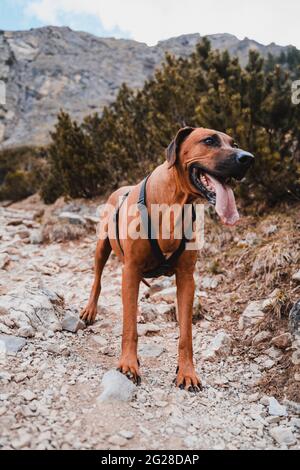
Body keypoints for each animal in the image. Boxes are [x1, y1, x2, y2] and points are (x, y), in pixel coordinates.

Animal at [81, 126, 254, 392]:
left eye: (233, 143)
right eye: (209, 140)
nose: (248, 158)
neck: (174, 203)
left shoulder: (186, 278)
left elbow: (186, 334)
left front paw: (187, 372)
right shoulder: (130, 270)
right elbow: (129, 327)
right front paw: (129, 365)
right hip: (102, 246)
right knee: (97, 279)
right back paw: (90, 310)